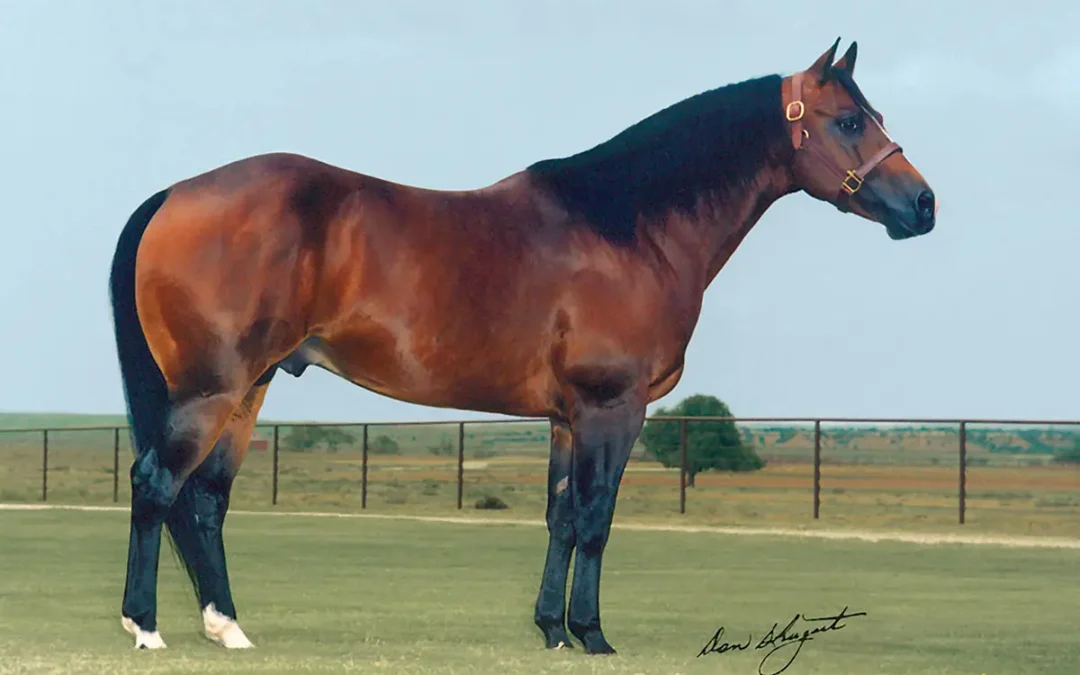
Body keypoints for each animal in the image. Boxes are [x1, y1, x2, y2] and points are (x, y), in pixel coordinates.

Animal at [109, 38, 935, 653]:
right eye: (849, 121)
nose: (924, 204)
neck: (628, 227)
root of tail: (174, 194)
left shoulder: (567, 417)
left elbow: (561, 516)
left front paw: (552, 629)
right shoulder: (612, 406)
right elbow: (597, 517)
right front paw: (594, 634)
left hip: (249, 386)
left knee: (205, 499)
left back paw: (227, 626)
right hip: (212, 387)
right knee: (157, 483)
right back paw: (144, 627)